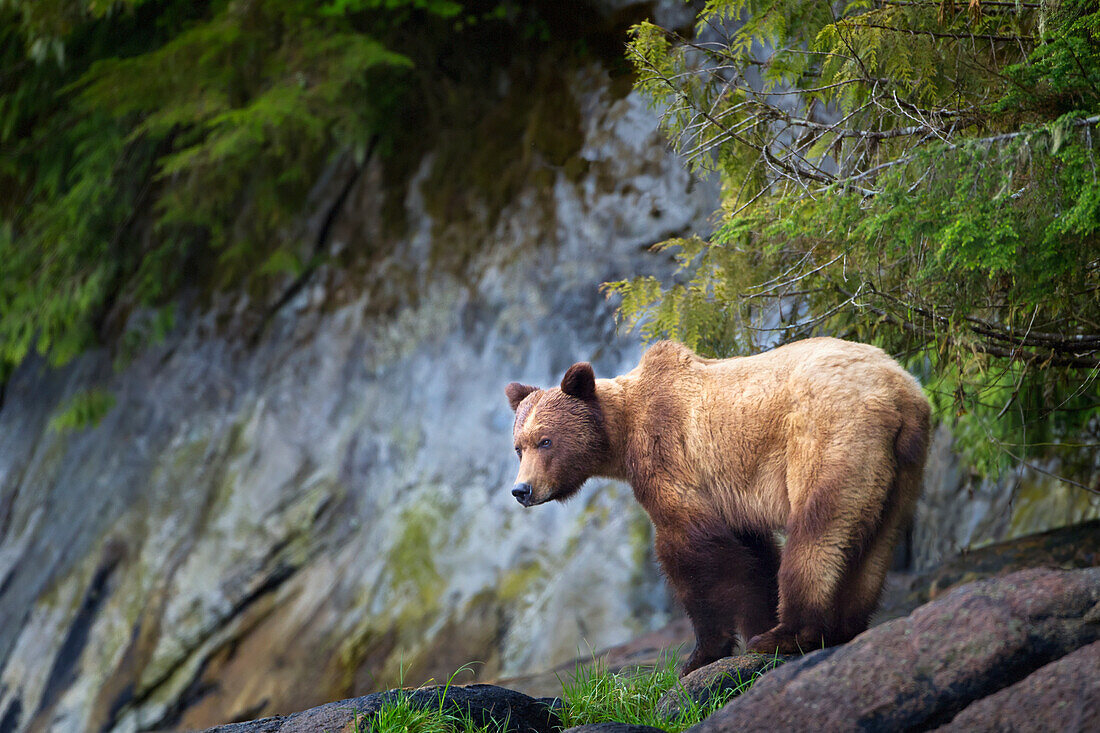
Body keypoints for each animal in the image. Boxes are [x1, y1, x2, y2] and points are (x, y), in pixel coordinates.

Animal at [503, 334, 928, 669]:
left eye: (545, 440)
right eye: (518, 446)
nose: (522, 490)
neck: (622, 436)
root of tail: (899, 392)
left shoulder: (670, 457)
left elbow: (694, 553)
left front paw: (701, 654)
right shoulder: (731, 496)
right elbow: (753, 555)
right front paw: (753, 622)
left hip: (829, 435)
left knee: (816, 532)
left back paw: (787, 634)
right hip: (898, 468)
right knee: (876, 542)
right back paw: (843, 627)